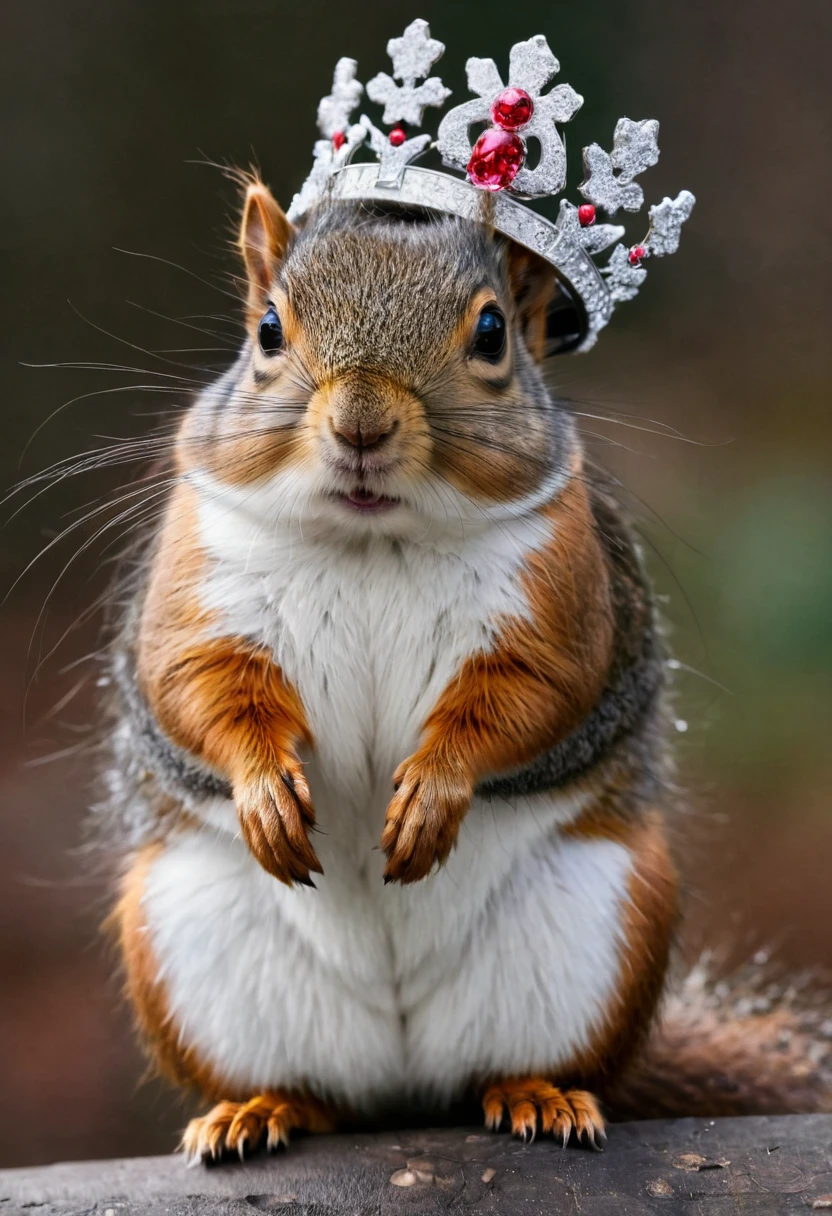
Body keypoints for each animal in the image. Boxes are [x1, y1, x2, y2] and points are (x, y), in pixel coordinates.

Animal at [102, 177, 832, 1157]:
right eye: (267, 330)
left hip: (604, 925)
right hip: (186, 944)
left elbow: (528, 695)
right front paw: (263, 791)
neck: (375, 536)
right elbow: (199, 684)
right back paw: (261, 1107)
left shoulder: (556, 599)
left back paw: (537, 1095)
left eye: (492, 334)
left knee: (514, 1067)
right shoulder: (203, 574)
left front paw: (431, 796)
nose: (361, 425)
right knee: (314, 1092)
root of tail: (402, 1082)